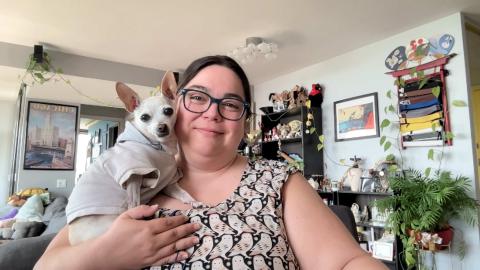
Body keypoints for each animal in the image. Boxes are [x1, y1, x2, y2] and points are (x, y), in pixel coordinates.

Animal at [66, 71, 181, 245]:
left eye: (168, 111)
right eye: (144, 117)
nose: (162, 127)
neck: (159, 146)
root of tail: (75, 241)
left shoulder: (169, 182)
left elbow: (183, 193)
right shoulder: (133, 175)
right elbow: (134, 201)